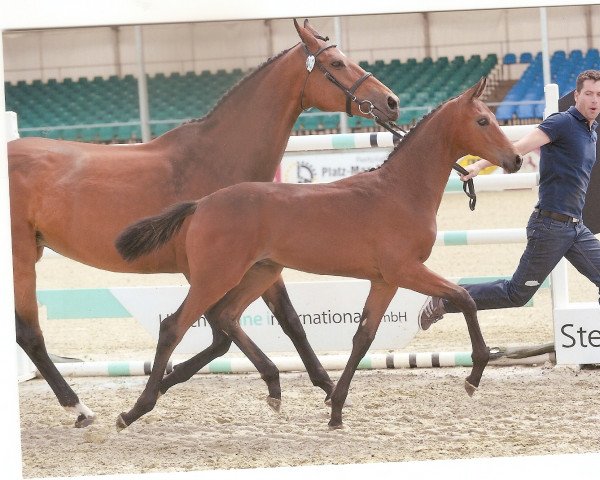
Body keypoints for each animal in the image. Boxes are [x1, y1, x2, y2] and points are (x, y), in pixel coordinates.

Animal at [8, 18, 398, 428]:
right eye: (337, 63)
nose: (391, 102)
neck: (216, 157)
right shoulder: (207, 270)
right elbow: (219, 332)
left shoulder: (259, 260)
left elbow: (286, 321)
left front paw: (324, 389)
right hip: (21, 258)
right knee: (29, 333)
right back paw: (79, 407)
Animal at [116, 77, 520, 430]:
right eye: (482, 120)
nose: (515, 160)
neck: (401, 190)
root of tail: (201, 204)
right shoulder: (406, 270)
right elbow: (464, 297)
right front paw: (474, 374)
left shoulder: (384, 281)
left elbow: (363, 338)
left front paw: (336, 409)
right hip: (216, 276)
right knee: (174, 326)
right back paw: (135, 410)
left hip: (259, 273)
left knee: (225, 317)